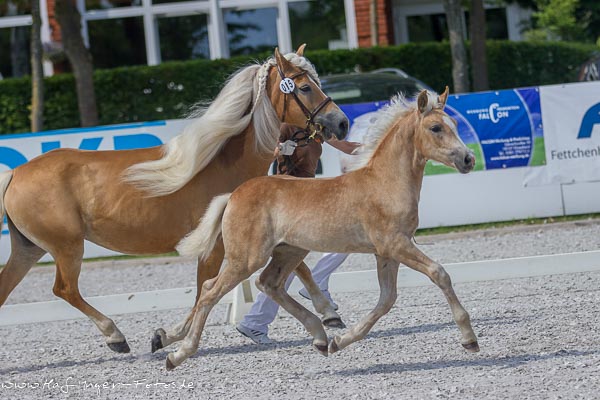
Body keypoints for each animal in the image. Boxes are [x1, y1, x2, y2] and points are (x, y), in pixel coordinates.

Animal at [0, 45, 346, 354]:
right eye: (305, 87)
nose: (340, 122)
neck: (222, 162)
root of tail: (15, 173)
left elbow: (299, 267)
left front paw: (329, 312)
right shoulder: (216, 246)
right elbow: (205, 290)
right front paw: (169, 336)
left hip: (29, 249)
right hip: (67, 247)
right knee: (65, 288)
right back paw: (115, 336)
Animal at [171, 86, 480, 368]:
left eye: (455, 126)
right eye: (435, 127)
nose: (468, 159)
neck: (385, 182)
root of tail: (233, 194)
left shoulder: (386, 252)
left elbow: (386, 300)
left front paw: (340, 341)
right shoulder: (395, 244)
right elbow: (438, 273)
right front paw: (469, 339)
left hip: (289, 251)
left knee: (267, 283)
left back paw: (320, 336)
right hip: (247, 258)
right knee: (210, 290)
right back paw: (178, 354)